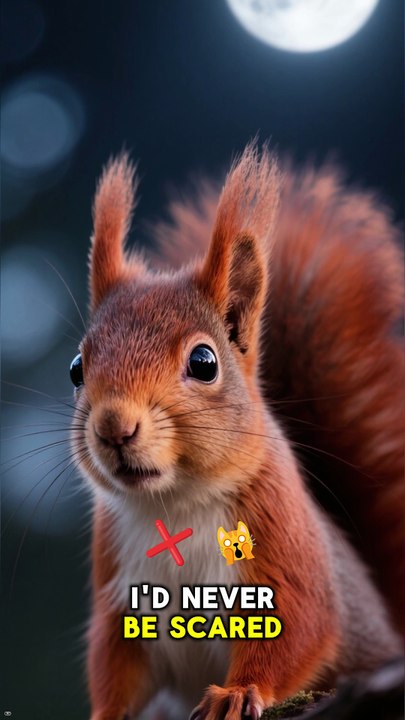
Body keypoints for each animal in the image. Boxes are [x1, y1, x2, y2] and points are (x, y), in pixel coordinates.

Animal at [70, 142, 404, 720]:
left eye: (204, 362)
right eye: (75, 369)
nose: (114, 426)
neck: (174, 504)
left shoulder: (281, 540)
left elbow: (299, 627)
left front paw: (238, 692)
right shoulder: (120, 593)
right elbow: (116, 667)